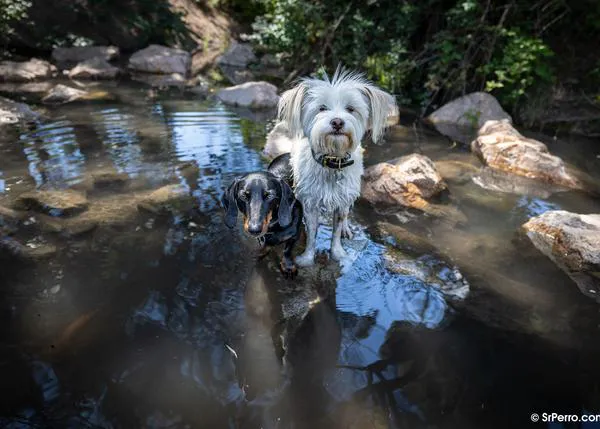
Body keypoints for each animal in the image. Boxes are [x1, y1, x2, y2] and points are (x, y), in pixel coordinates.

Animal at [278, 67, 398, 266]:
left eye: (350, 109)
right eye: (322, 108)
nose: (337, 122)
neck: (332, 162)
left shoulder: (342, 202)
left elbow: (336, 230)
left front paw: (338, 253)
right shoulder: (310, 202)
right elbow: (312, 233)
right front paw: (307, 258)